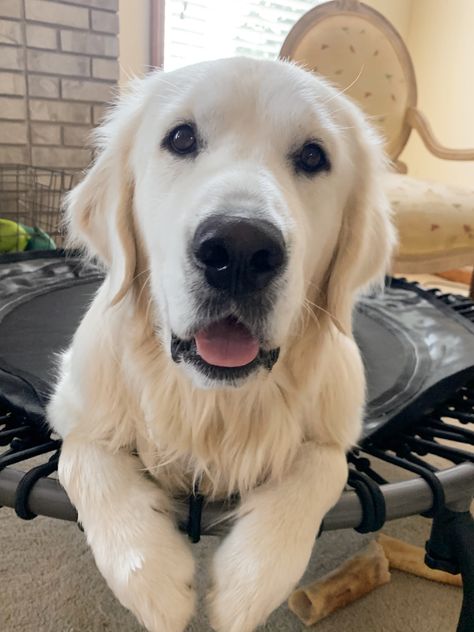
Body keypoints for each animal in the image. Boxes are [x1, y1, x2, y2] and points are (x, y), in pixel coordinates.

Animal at [48, 58, 396, 632]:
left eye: (313, 156)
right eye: (181, 138)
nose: (239, 248)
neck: (213, 406)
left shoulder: (335, 430)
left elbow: (323, 465)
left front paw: (246, 584)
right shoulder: (74, 408)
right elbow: (80, 458)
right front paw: (155, 580)